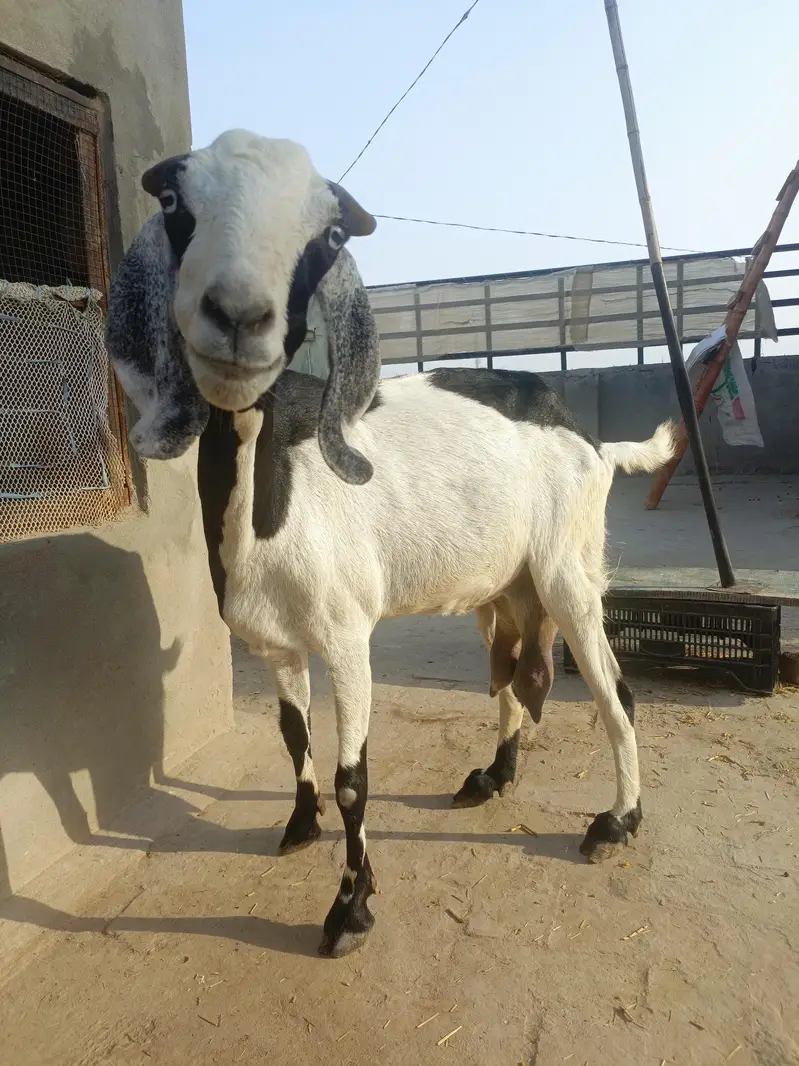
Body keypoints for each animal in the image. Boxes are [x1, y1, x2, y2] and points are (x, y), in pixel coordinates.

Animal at [106, 130, 676, 958]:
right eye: (176, 201)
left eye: (326, 233)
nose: (239, 316)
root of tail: (594, 441)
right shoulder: (274, 642)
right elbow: (291, 732)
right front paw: (299, 826)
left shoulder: (347, 636)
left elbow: (355, 776)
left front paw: (350, 909)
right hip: (505, 587)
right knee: (513, 678)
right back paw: (492, 777)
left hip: (567, 568)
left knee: (613, 692)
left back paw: (616, 822)